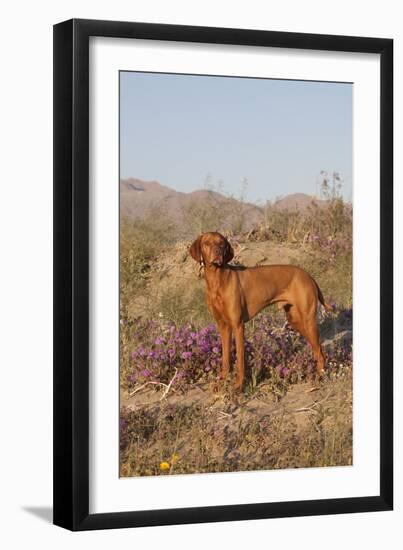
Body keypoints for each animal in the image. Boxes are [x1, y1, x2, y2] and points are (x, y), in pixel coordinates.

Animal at [191, 233, 332, 392]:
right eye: (207, 243)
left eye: (221, 244)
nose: (217, 253)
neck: (217, 280)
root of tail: (308, 276)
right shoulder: (223, 326)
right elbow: (225, 358)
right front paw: (222, 382)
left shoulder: (238, 325)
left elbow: (240, 359)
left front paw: (239, 386)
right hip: (296, 321)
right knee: (318, 349)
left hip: (308, 320)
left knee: (320, 352)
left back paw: (320, 378)